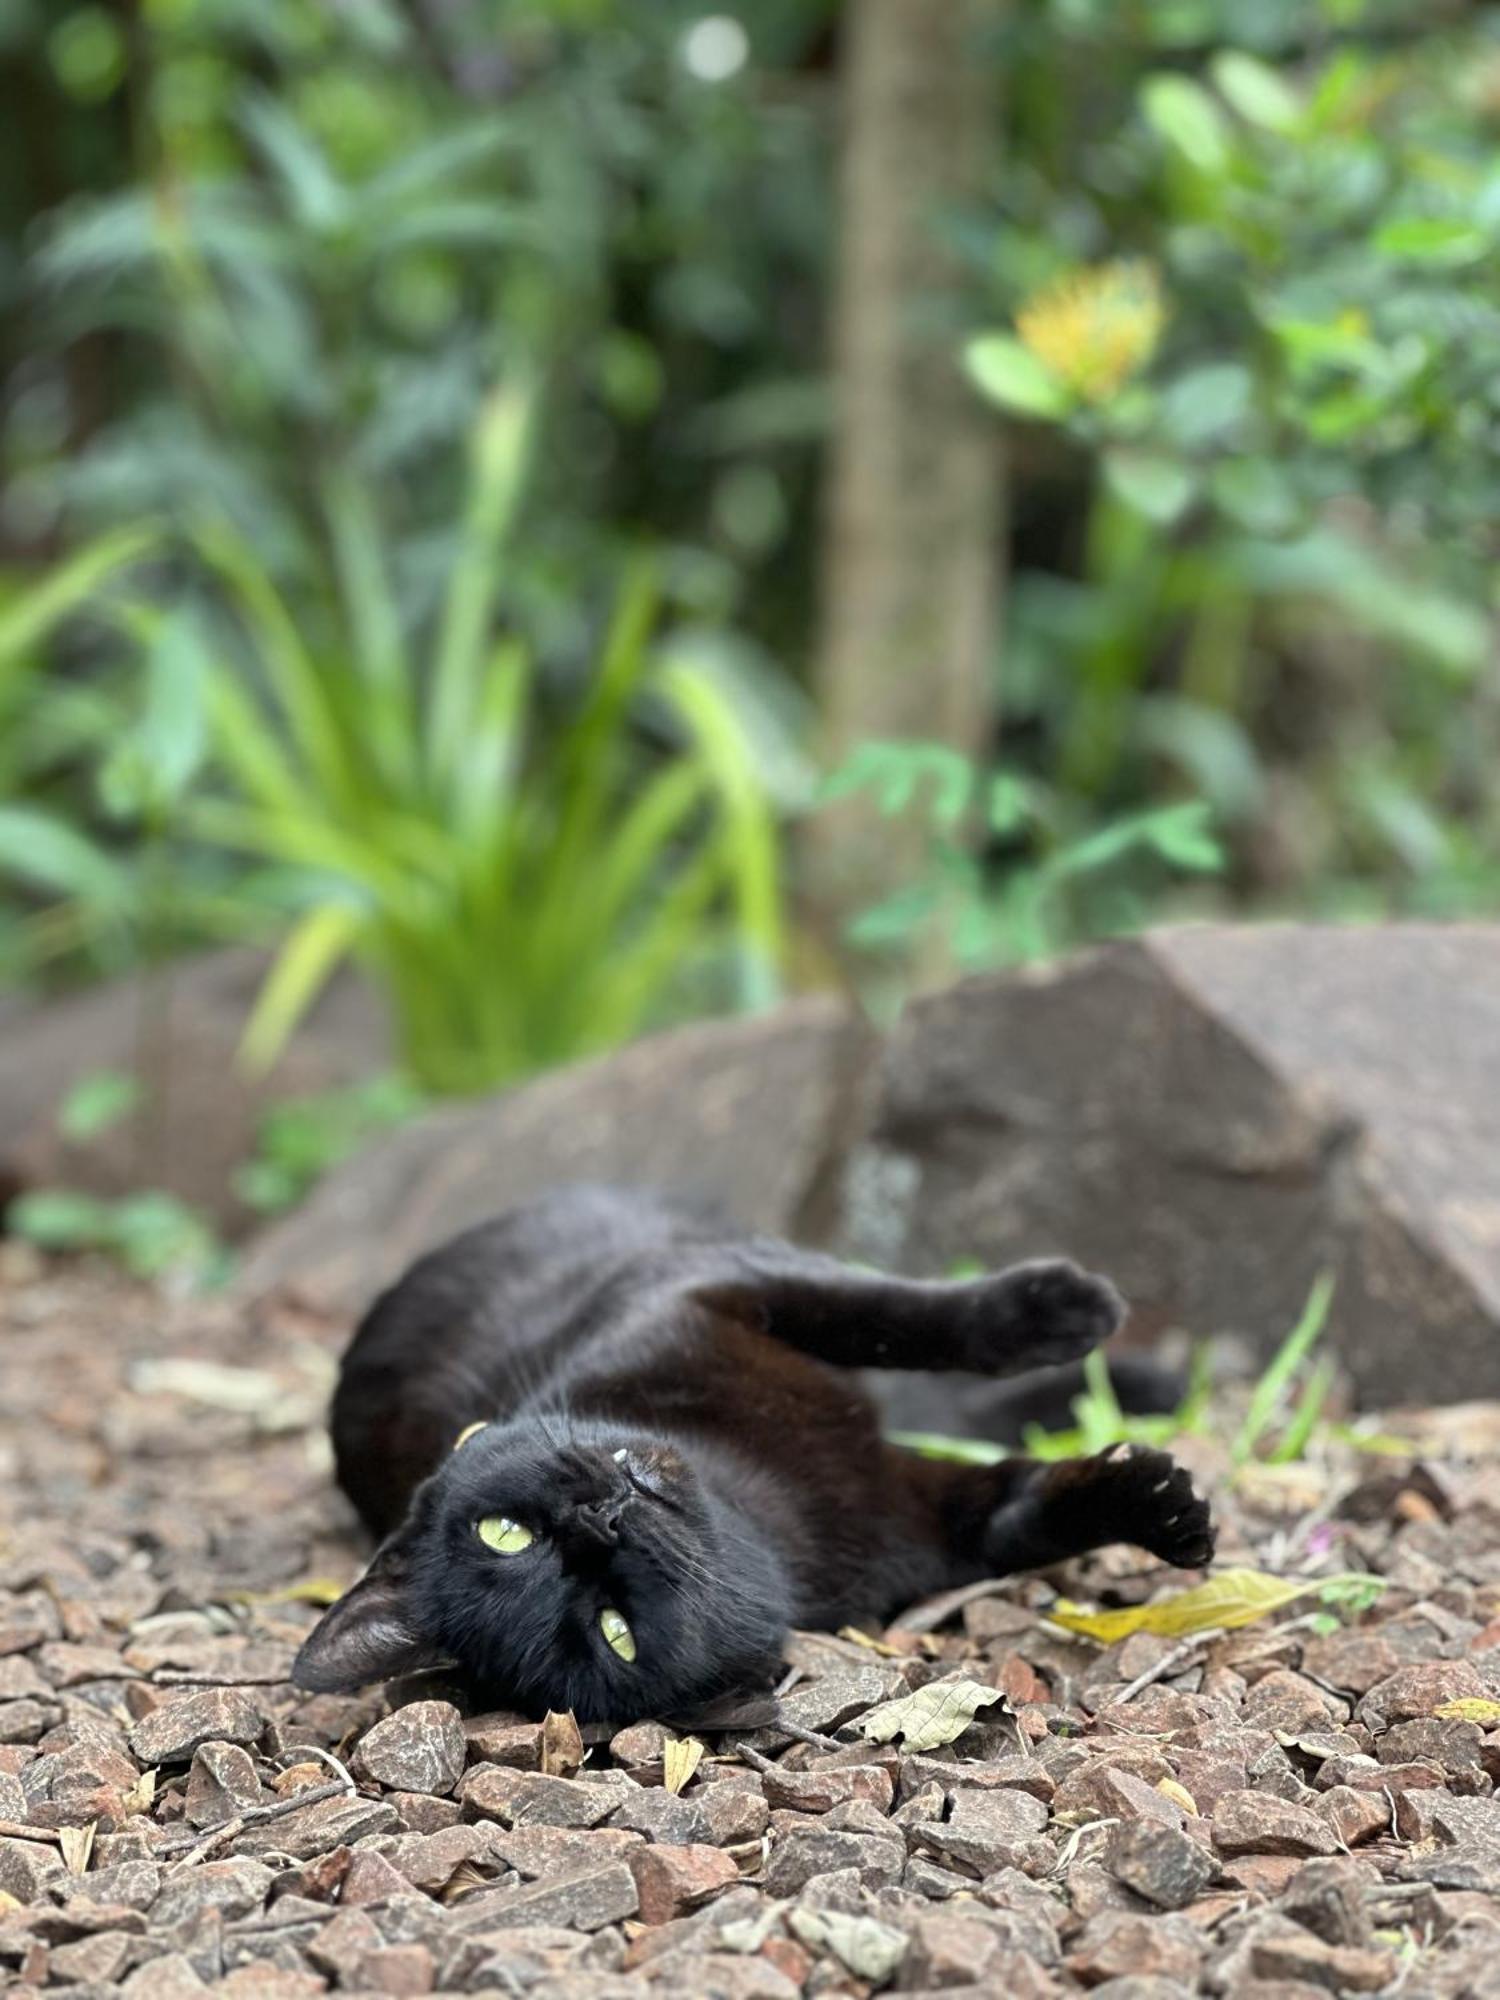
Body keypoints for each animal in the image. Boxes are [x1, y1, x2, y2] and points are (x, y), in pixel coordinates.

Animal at [296, 1184, 1224, 1720]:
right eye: (612, 1631)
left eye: (503, 1533)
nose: (600, 1519)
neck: (760, 1488)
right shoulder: (924, 1526)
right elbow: (1024, 1513)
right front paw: (1162, 1511)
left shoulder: (703, 1283)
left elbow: (900, 1315)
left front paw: (1062, 1307)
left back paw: (1139, 1372)